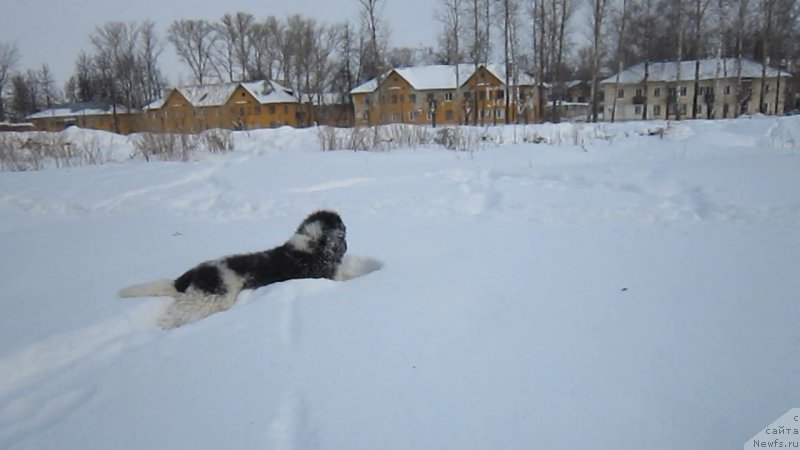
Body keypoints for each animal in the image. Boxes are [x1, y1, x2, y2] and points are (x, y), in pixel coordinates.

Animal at [119, 209, 346, 328]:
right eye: (343, 232)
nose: (346, 245)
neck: (307, 245)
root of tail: (192, 274)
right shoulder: (324, 273)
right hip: (210, 297)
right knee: (177, 314)